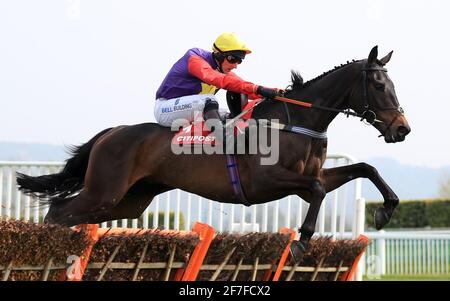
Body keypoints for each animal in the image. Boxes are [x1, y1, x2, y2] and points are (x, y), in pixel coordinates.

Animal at [16, 46, 412, 260]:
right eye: (379, 85)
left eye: (393, 83)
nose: (402, 129)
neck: (295, 120)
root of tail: (111, 132)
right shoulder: (268, 181)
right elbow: (317, 192)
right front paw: (301, 243)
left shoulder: (309, 178)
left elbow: (365, 169)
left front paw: (386, 210)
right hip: (105, 190)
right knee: (57, 212)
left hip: (129, 200)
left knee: (69, 214)